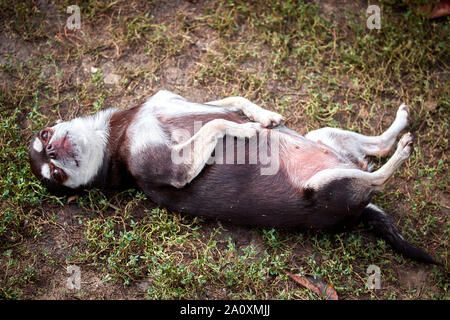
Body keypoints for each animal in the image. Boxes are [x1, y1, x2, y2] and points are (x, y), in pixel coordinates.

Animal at [28, 89, 436, 262]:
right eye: (54, 175)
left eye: (44, 136)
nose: (51, 153)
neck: (120, 133)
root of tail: (361, 211)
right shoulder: (177, 167)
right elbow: (218, 124)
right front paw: (247, 129)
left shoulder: (179, 99)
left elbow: (233, 101)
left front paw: (264, 116)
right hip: (324, 188)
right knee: (378, 176)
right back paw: (403, 150)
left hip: (327, 137)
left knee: (376, 148)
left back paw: (400, 125)